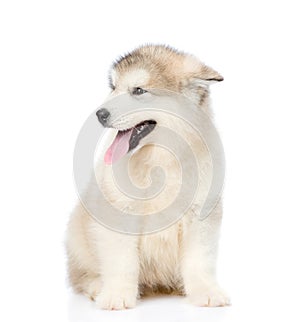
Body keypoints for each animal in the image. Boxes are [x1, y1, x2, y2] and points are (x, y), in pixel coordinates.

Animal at [66, 44, 230, 310]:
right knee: (80, 275)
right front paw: (117, 295)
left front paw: (206, 291)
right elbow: (121, 262)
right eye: (113, 87)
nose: (99, 114)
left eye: (138, 91)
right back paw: (97, 286)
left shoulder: (202, 216)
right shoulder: (118, 215)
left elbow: (200, 261)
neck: (160, 160)